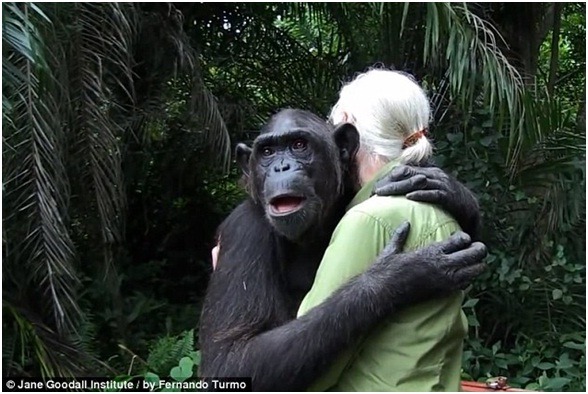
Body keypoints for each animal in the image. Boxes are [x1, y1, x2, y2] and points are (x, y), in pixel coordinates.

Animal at [199, 107, 486, 390]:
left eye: (299, 145)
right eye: (267, 152)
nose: (282, 167)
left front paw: (446, 188)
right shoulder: (244, 231)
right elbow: (230, 357)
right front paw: (399, 275)